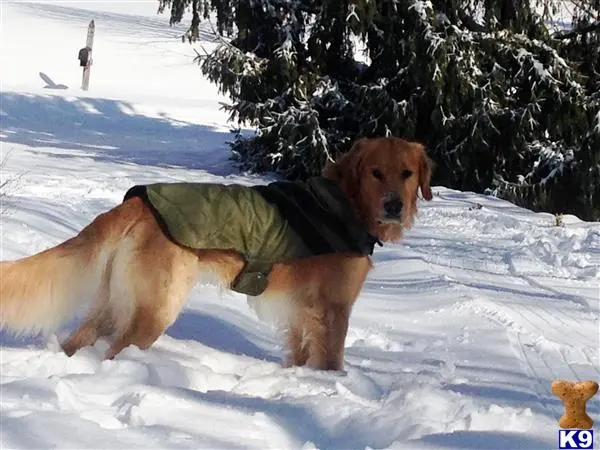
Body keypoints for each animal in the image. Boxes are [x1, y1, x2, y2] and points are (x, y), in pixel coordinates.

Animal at [0, 136, 432, 370]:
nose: (394, 205)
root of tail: (139, 200)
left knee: (80, 341)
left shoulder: (299, 311)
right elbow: (332, 360)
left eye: (406, 174)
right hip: (155, 308)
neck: (343, 202)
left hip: (114, 302)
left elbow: (299, 354)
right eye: (376, 173)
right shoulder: (333, 309)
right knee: (116, 351)